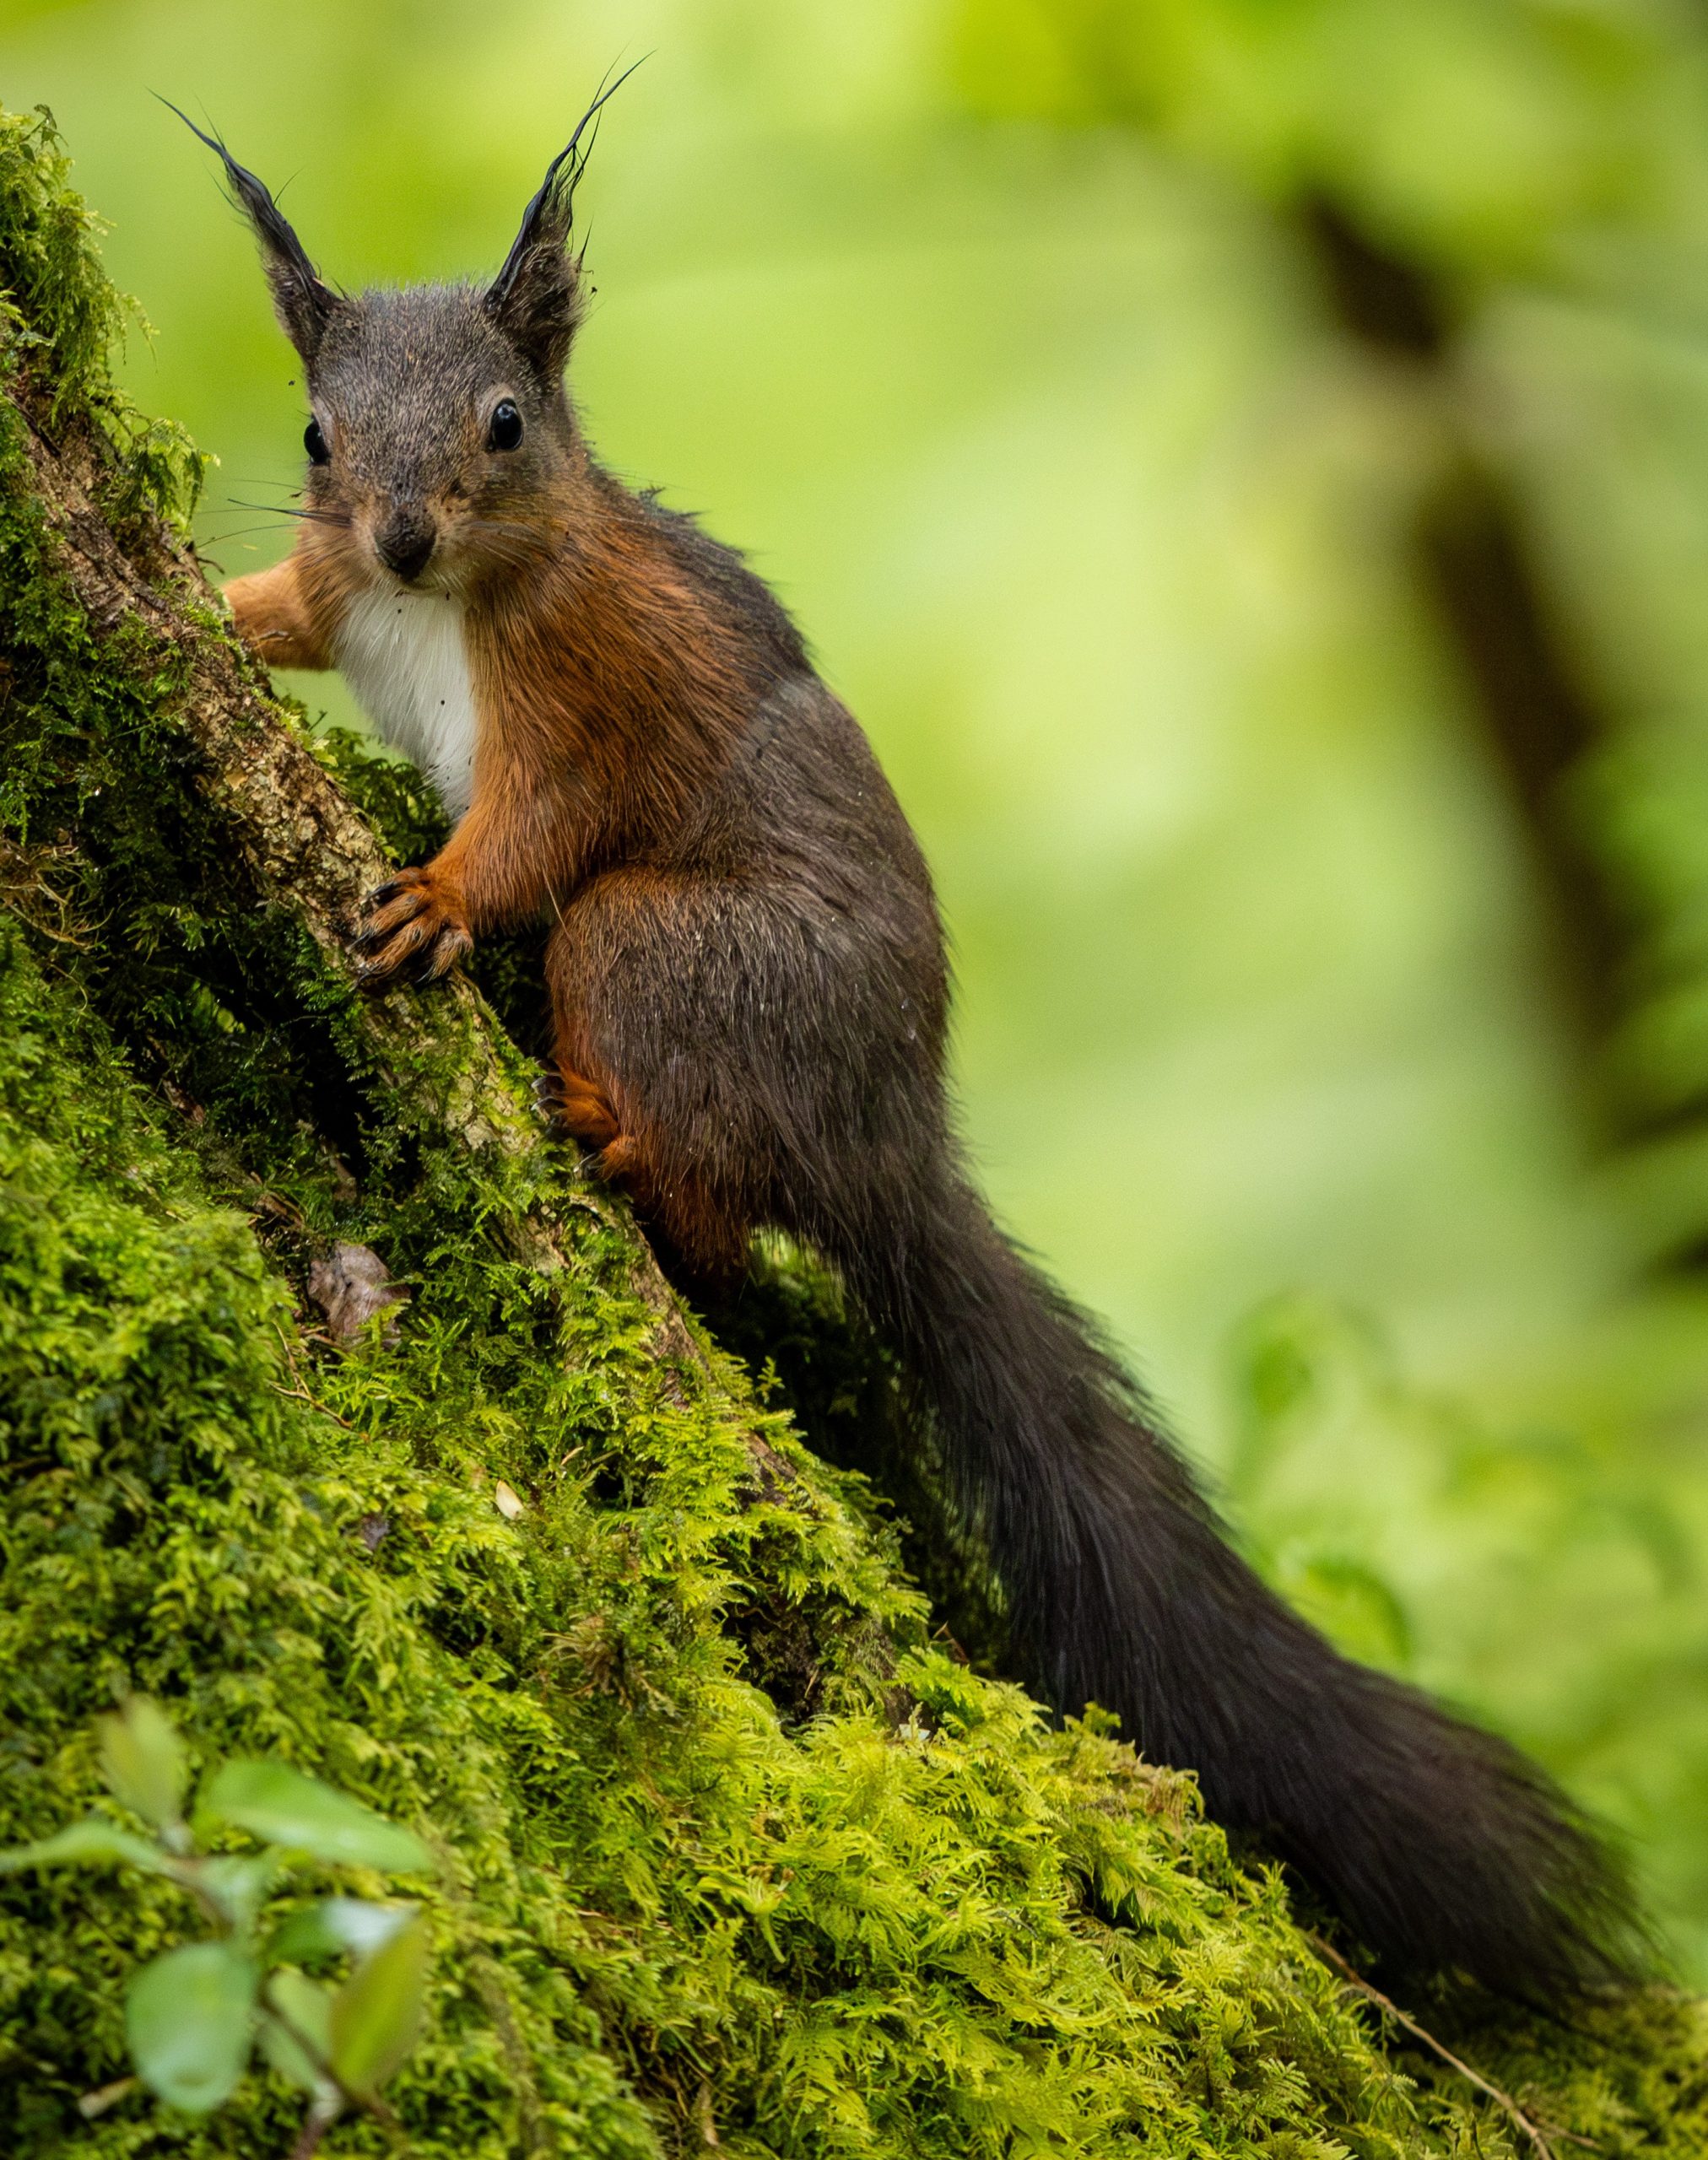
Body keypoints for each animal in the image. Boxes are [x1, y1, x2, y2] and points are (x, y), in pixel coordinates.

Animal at [180, 97, 1632, 1987]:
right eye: (316, 430)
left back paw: (612, 1139)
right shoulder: (339, 588)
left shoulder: (593, 689)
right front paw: (199, 593)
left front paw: (430, 896)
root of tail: (886, 1136)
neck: (451, 597)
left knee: (706, 1180)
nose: (406, 536)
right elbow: (284, 604)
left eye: (504, 420)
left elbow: (535, 830)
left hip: (660, 951)